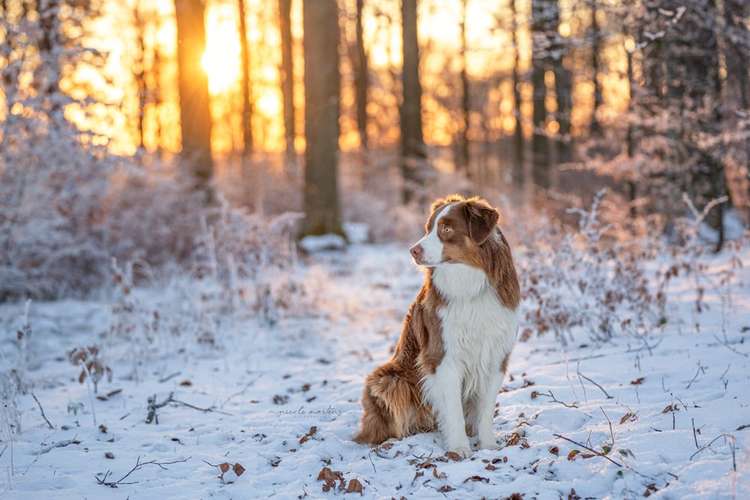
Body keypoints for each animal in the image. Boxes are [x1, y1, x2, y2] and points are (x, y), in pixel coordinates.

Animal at [354, 195, 520, 458]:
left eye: (446, 229)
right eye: (428, 228)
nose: (413, 250)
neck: (469, 281)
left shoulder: (496, 356)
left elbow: (485, 409)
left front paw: (488, 445)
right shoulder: (442, 356)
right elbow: (453, 409)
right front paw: (459, 448)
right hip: (390, 380)